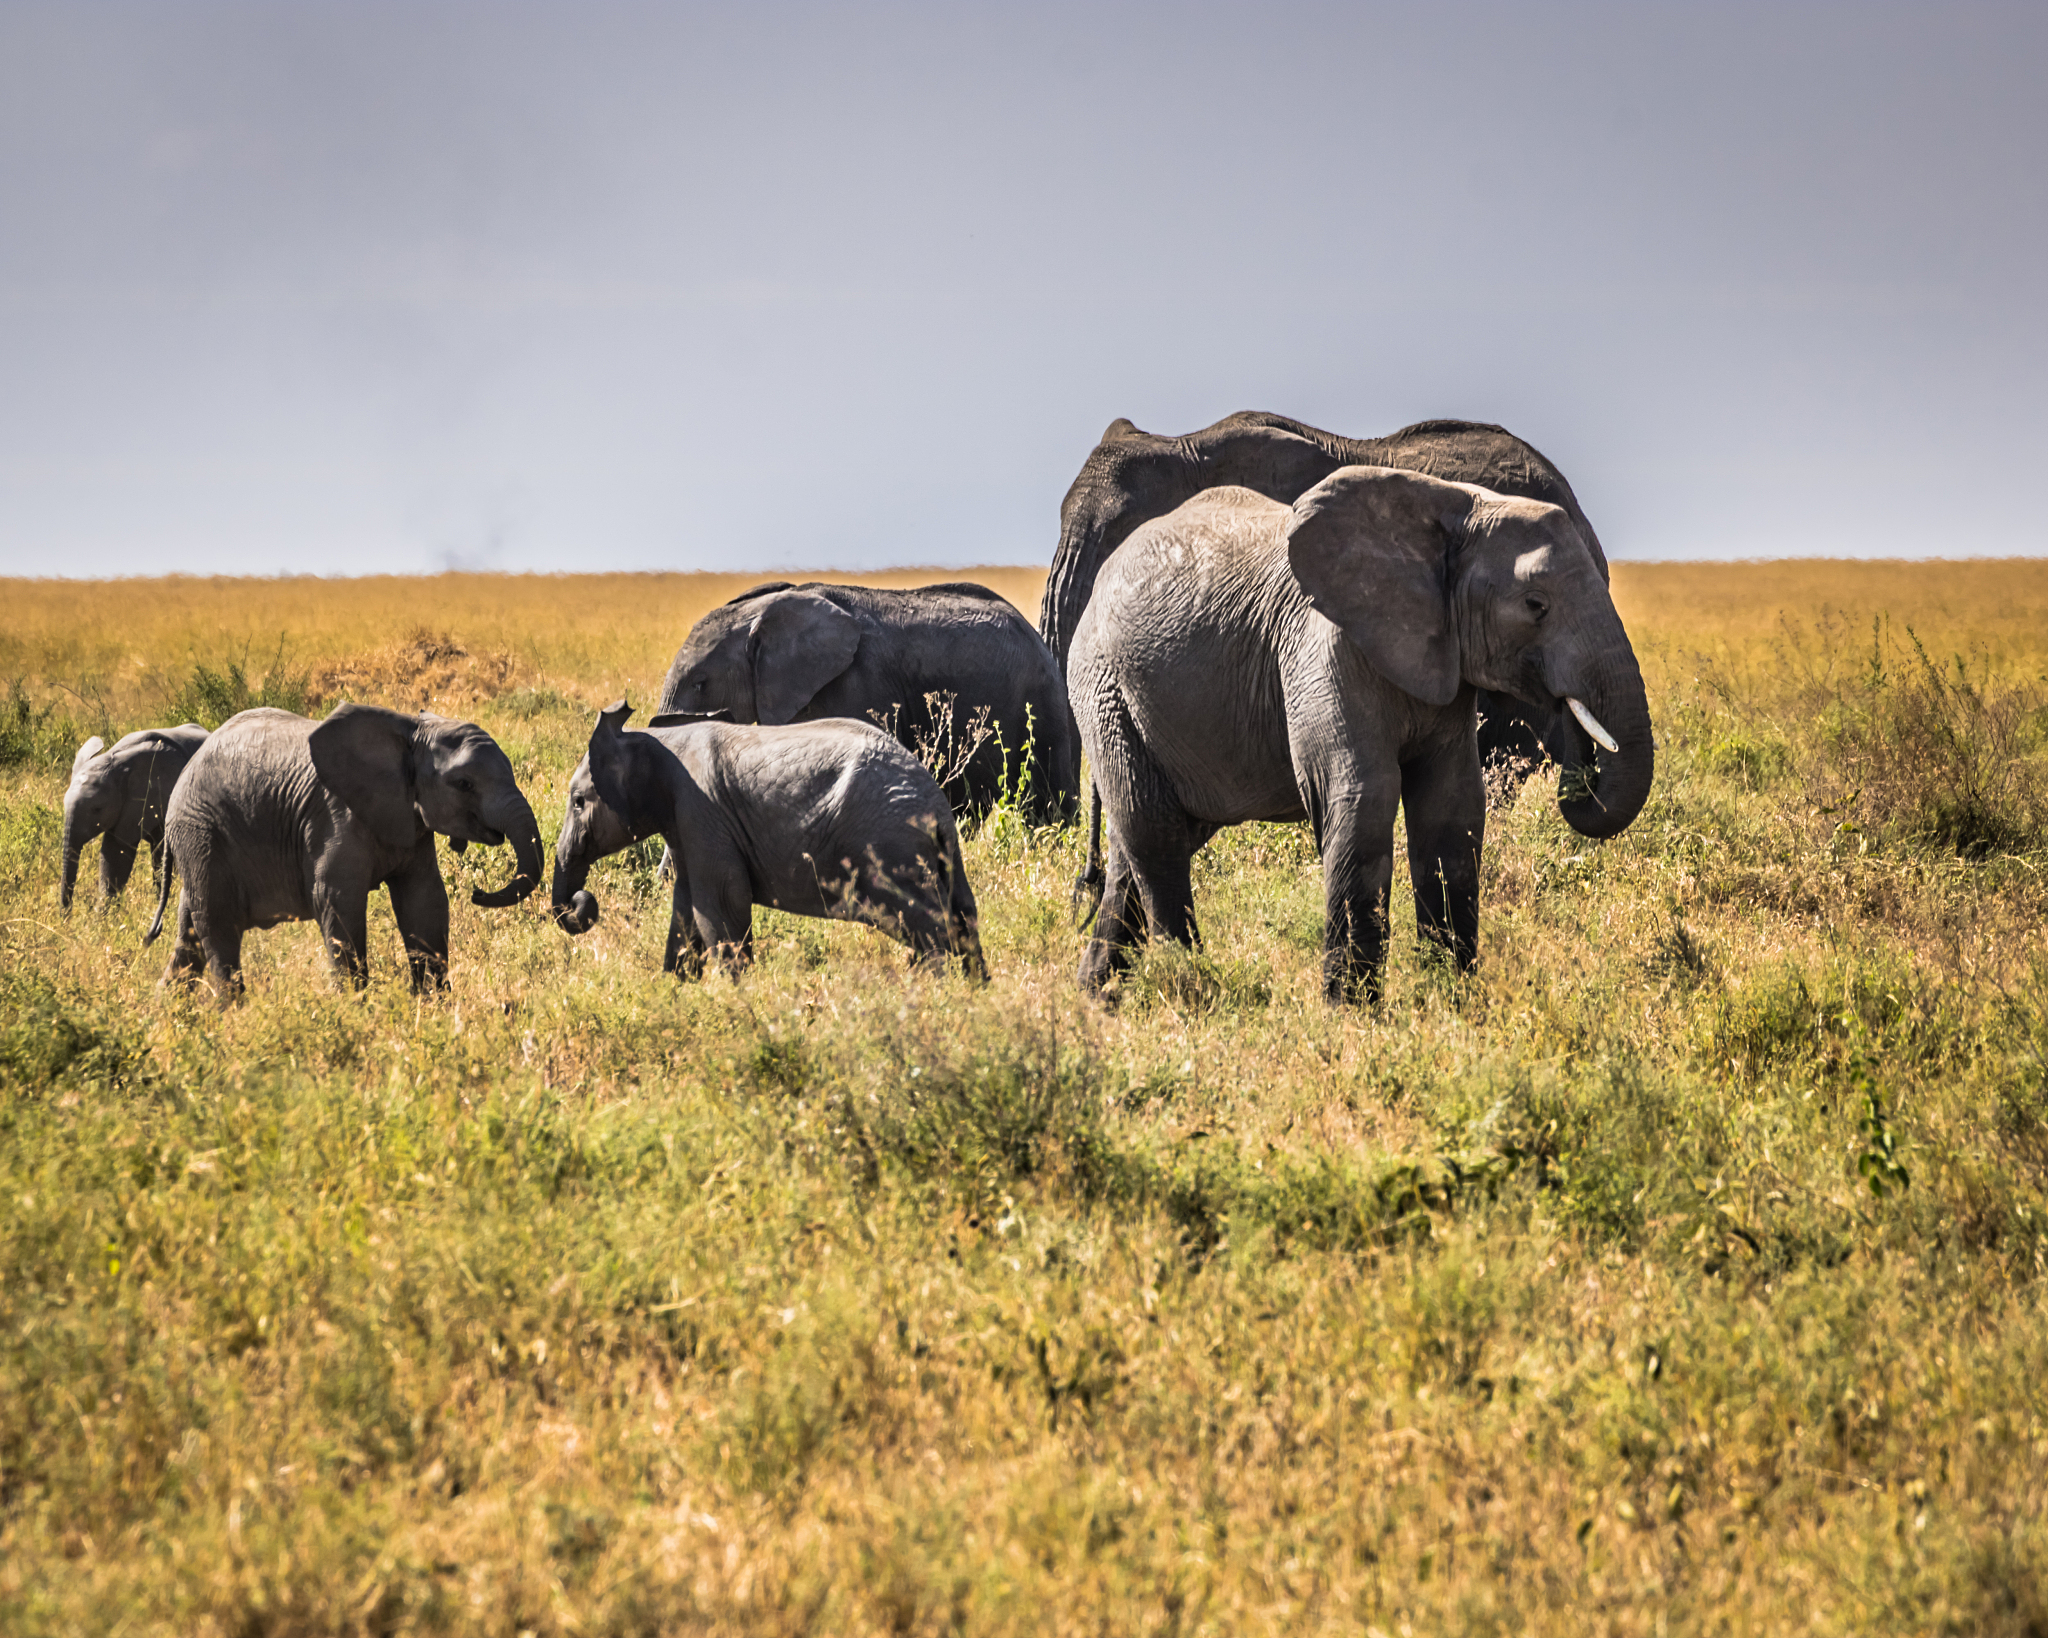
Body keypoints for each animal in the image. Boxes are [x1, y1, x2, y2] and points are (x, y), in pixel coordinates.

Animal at [144, 704, 544, 998]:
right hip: (201, 832)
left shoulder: (410, 819)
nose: (477, 893)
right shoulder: (335, 816)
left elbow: (424, 900)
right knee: (218, 927)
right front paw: (355, 1010)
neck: (408, 734)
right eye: (464, 784)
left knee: (189, 936)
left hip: (199, 841)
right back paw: (233, 1018)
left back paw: (166, 1015)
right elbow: (337, 900)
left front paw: (433, 1009)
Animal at [552, 702, 986, 980]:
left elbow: (720, 908)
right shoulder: (685, 821)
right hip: (935, 858)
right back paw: (972, 996)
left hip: (890, 850)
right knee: (963, 919)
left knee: (932, 929)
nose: (579, 901)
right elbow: (686, 912)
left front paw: (736, 1000)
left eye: (578, 802)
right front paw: (671, 991)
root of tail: (937, 809)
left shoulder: (701, 810)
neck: (657, 739)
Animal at [1068, 467, 1653, 1004]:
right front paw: (1351, 1015)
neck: (1454, 508)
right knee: (1154, 832)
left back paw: (1098, 995)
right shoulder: (1325, 645)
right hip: (1103, 684)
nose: (1568, 710)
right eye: (1535, 605)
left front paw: (1452, 1001)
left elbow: (1450, 808)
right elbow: (1363, 797)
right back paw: (1191, 991)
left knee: (1145, 840)